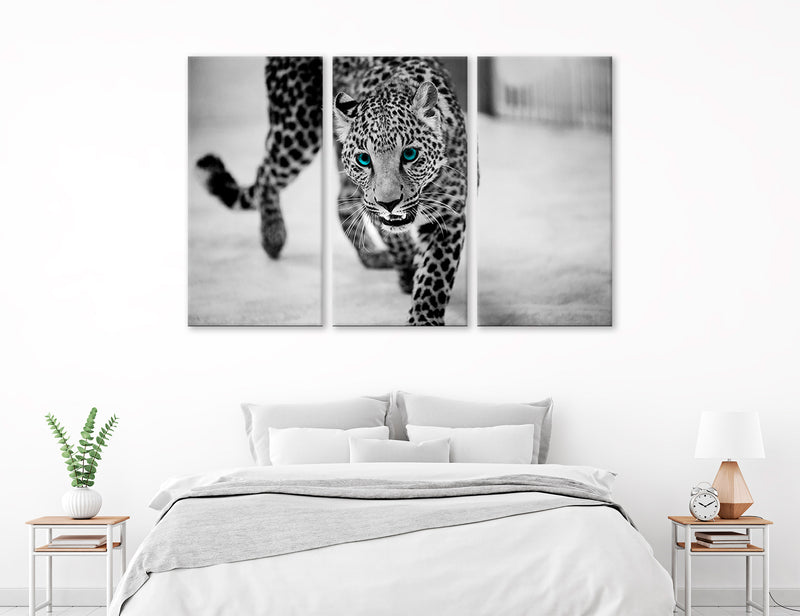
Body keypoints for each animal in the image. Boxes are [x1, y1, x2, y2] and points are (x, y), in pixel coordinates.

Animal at [195, 56, 466, 326]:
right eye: (364, 159)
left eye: (410, 154)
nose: (388, 203)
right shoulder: (373, 201)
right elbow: (394, 236)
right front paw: (409, 272)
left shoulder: (449, 214)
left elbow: (435, 276)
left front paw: (424, 317)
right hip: (297, 128)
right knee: (266, 172)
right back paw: (273, 236)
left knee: (341, 203)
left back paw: (372, 255)